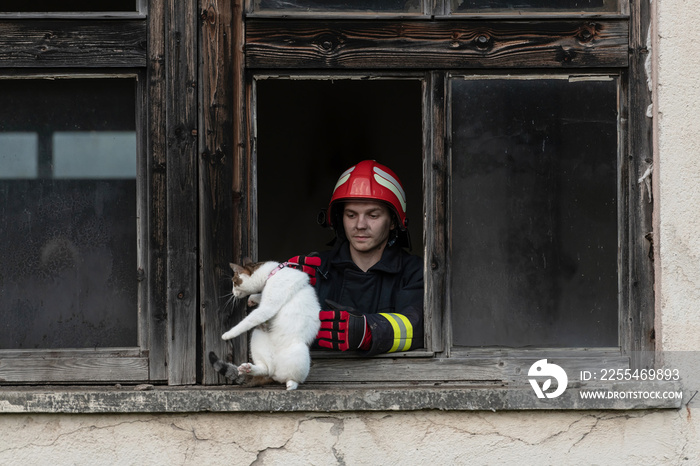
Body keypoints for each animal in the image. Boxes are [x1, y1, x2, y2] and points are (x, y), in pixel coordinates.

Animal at [209, 258, 322, 390]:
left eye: (234, 282)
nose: (232, 292)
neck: (273, 273)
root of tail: (274, 372)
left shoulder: (268, 307)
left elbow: (248, 320)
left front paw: (228, 334)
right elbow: (258, 296)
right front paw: (252, 299)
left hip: (301, 350)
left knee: (293, 378)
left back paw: (291, 384)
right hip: (257, 334)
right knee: (265, 369)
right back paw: (248, 369)